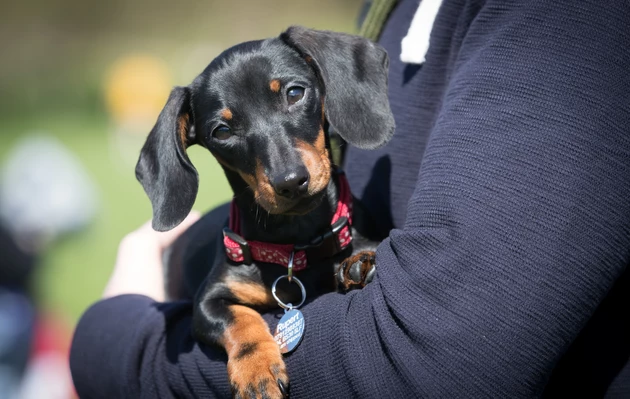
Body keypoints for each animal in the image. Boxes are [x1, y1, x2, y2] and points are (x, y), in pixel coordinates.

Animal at [137, 26, 396, 398]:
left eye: (294, 93)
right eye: (222, 131)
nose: (290, 182)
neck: (294, 245)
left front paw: (357, 263)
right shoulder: (208, 302)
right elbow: (240, 320)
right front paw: (256, 370)